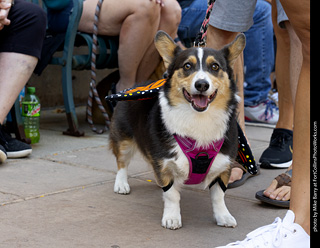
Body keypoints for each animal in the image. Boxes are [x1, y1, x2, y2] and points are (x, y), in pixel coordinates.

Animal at [109, 31, 246, 231]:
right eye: (187, 66)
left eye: (215, 66)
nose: (202, 85)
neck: (199, 119)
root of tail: (137, 83)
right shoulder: (166, 162)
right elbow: (172, 195)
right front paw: (172, 218)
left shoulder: (223, 165)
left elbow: (219, 196)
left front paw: (224, 216)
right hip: (124, 140)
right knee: (121, 162)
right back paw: (121, 184)